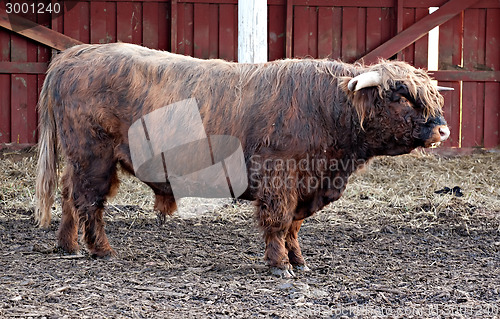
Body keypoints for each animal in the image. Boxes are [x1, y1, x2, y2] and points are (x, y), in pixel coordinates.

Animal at [34, 42, 450, 278]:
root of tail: (75, 53)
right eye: (399, 95)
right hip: (94, 154)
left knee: (70, 194)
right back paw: (101, 250)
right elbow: (279, 222)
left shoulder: (306, 183)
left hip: (80, 157)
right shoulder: (279, 175)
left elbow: (294, 225)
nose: (442, 130)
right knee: (89, 201)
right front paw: (280, 266)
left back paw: (68, 245)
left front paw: (298, 260)